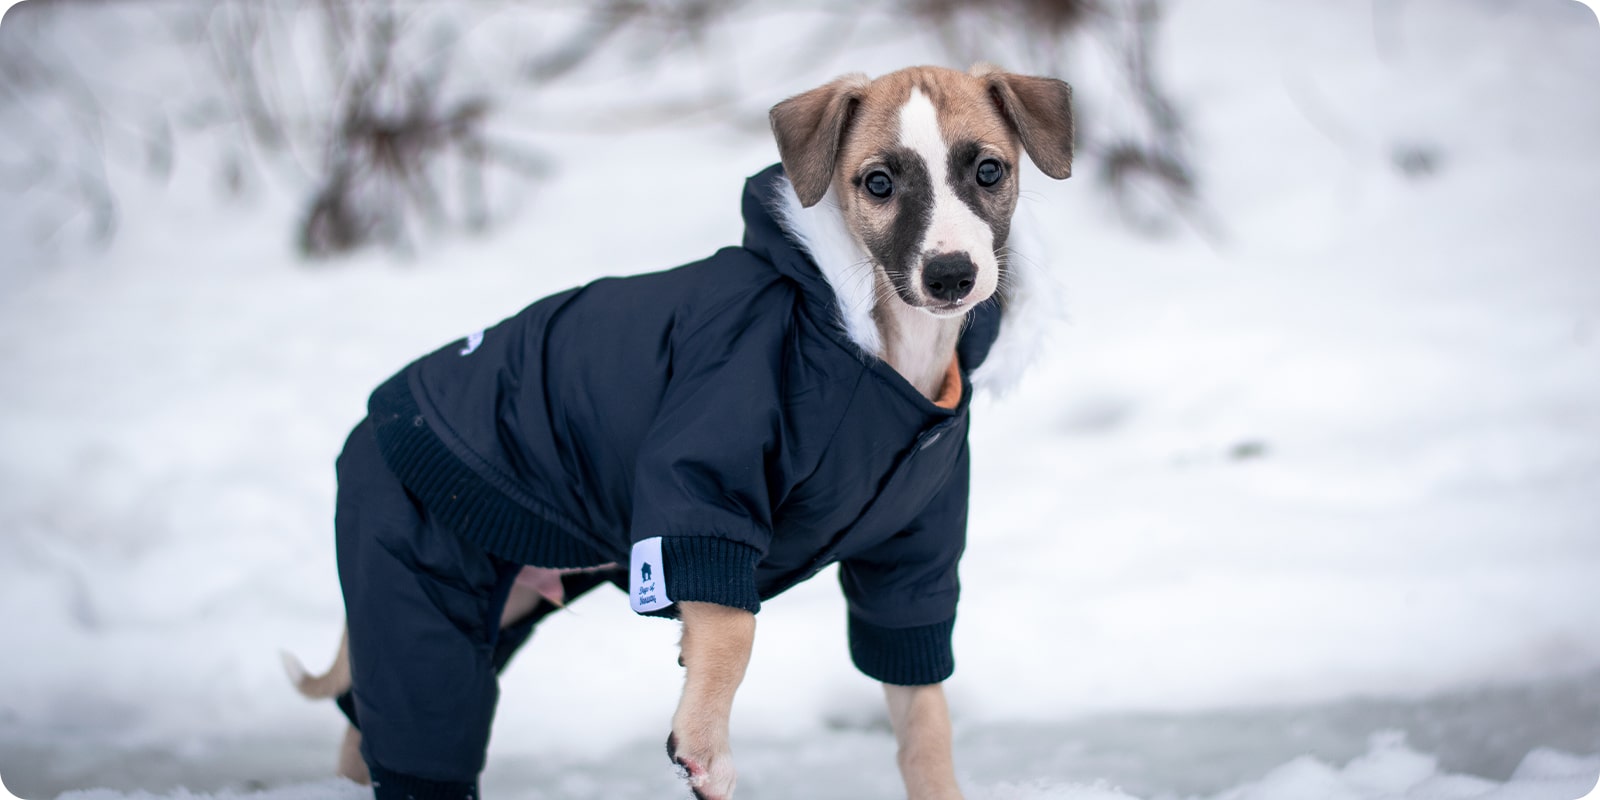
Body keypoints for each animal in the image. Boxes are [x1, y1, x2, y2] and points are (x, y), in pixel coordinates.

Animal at [289, 64, 1075, 800]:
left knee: (366, 724)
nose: (951, 275)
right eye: (878, 182)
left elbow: (923, 713)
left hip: (493, 605)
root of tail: (376, 418)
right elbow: (732, 624)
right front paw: (704, 747)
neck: (871, 348)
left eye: (989, 170)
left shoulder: (909, 556)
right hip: (415, 575)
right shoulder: (698, 481)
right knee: (416, 714)